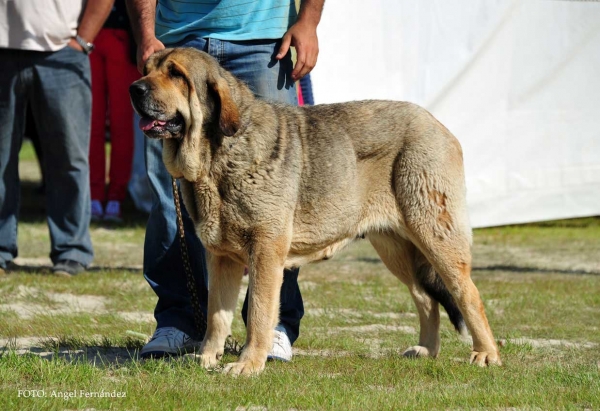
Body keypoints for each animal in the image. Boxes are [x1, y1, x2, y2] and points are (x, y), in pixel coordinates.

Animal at [131, 48, 502, 376]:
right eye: (147, 69)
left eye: (176, 74)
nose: (135, 88)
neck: (216, 158)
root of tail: (438, 125)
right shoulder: (221, 257)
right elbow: (216, 315)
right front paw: (207, 359)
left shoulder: (265, 250)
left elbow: (260, 313)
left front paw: (248, 364)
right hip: (395, 247)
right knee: (425, 298)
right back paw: (426, 350)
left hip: (434, 235)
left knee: (467, 294)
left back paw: (486, 354)